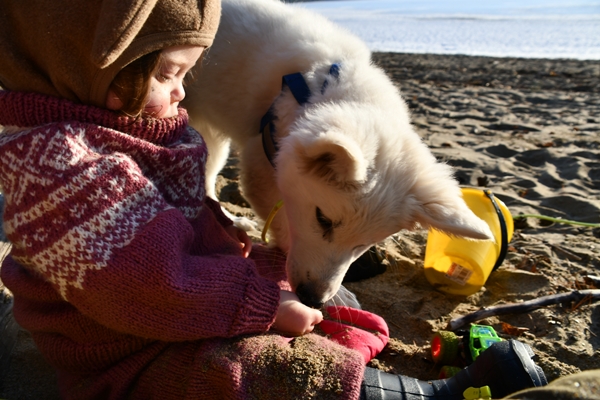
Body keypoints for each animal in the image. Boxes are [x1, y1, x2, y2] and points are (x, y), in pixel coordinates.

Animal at [183, 0, 492, 308]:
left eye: (363, 243)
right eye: (323, 220)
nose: (313, 300)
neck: (314, 89)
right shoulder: (261, 164)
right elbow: (284, 225)